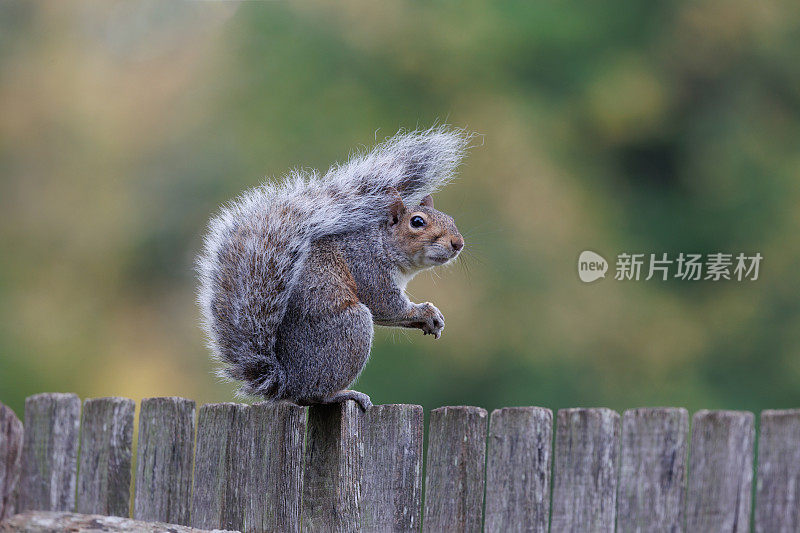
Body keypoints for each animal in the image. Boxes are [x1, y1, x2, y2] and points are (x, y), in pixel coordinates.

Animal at [198, 127, 472, 410]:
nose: (458, 243)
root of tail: (286, 383)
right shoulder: (366, 267)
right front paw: (425, 311)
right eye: (417, 222)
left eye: (451, 219)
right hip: (350, 329)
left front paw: (430, 320)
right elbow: (387, 306)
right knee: (314, 395)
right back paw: (343, 394)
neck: (382, 244)